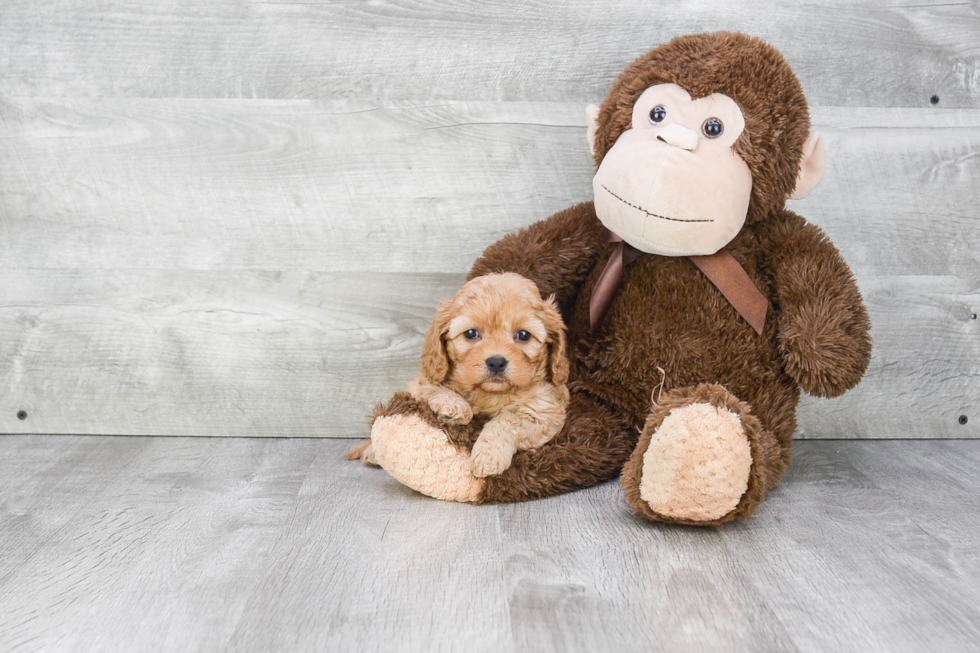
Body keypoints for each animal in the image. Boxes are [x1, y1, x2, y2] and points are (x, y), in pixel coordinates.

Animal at [348, 272, 572, 476]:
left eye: (523, 335)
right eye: (471, 333)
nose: (496, 362)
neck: (489, 393)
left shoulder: (544, 409)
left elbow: (508, 420)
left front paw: (488, 456)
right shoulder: (423, 379)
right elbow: (431, 388)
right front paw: (454, 406)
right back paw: (370, 451)